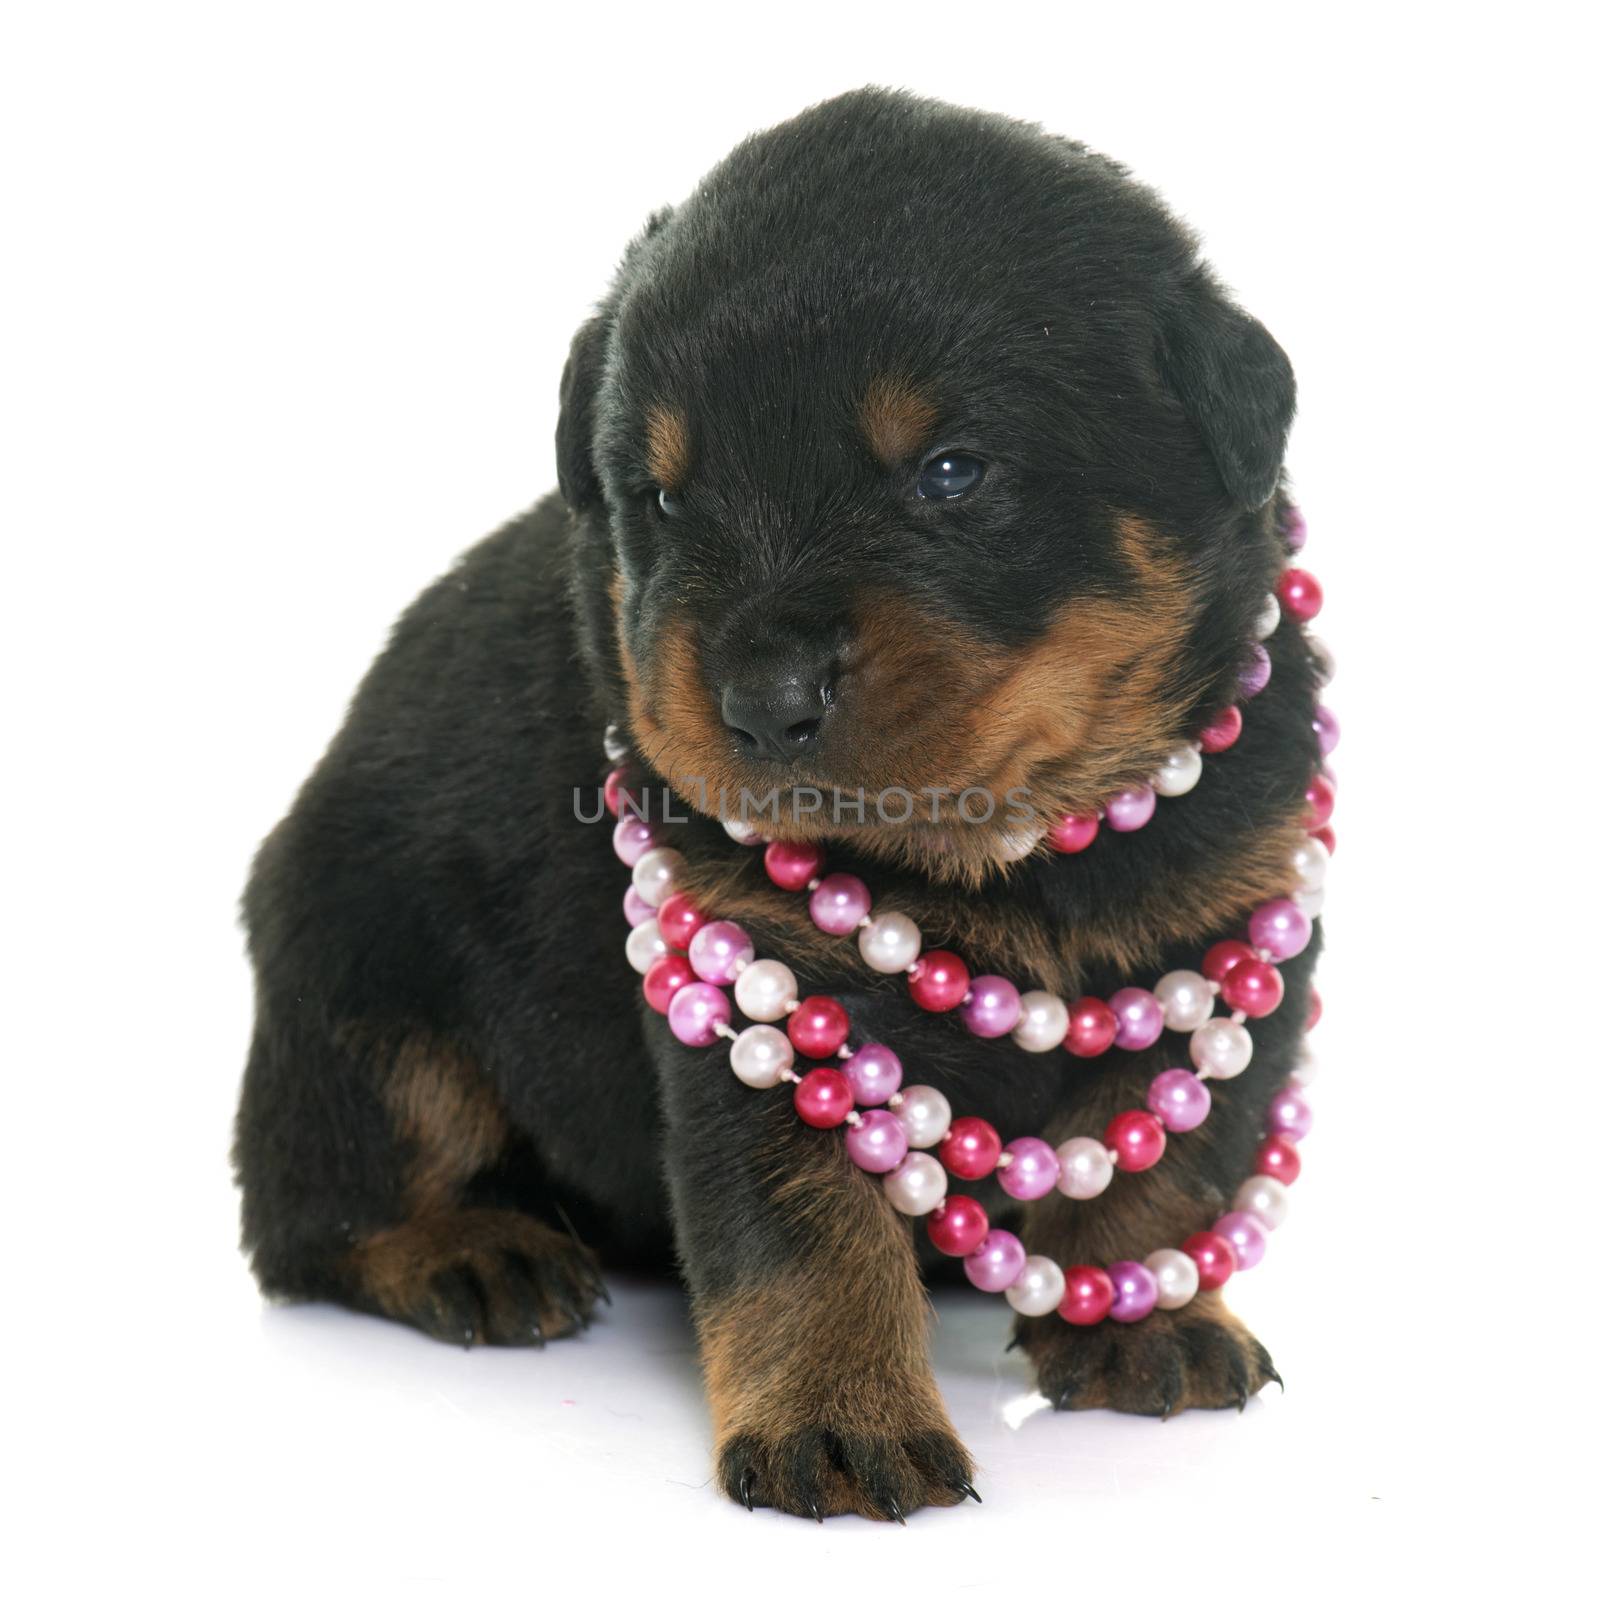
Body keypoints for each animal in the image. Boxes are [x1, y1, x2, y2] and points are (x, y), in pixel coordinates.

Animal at [233, 81, 1312, 1516]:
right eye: (661, 496)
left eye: (952, 472)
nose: (760, 694)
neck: (1011, 855)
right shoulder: (758, 975)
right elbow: (805, 1229)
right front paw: (841, 1420)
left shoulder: (1241, 907)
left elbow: (1175, 1161)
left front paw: (1145, 1319)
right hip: (356, 971)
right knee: (321, 1205)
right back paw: (474, 1247)